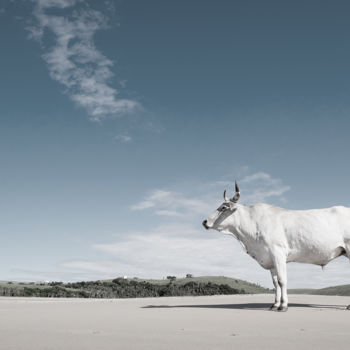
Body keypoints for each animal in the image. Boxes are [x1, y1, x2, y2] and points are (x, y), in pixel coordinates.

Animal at [202, 182, 350, 310]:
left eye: (223, 208)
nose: (204, 222)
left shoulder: (278, 253)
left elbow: (282, 280)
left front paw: (283, 306)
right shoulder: (270, 258)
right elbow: (275, 284)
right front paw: (274, 305)